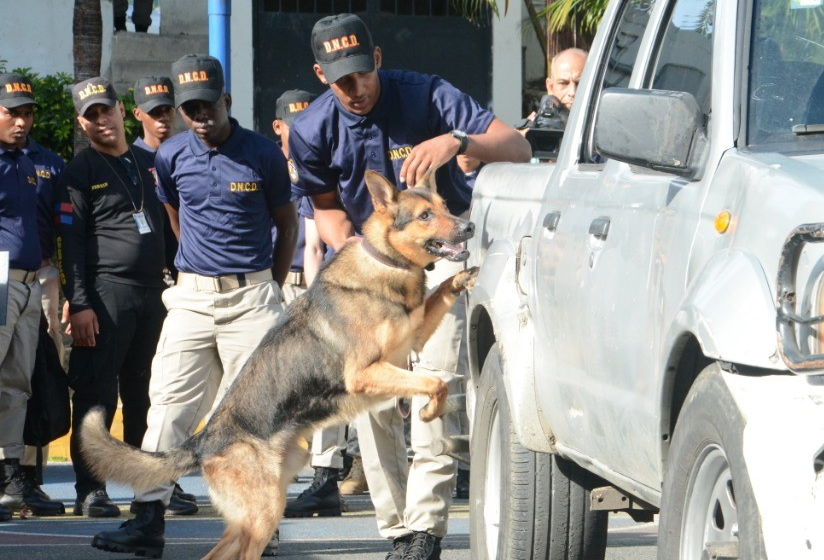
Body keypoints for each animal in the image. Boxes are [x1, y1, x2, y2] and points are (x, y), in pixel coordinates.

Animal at [80, 170, 480, 560]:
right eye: (425, 216)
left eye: (445, 206)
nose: (470, 226)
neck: (386, 262)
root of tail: (204, 440)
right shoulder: (366, 373)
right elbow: (435, 383)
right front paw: (429, 411)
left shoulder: (412, 342)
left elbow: (440, 307)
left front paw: (462, 277)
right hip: (263, 513)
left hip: (259, 509)